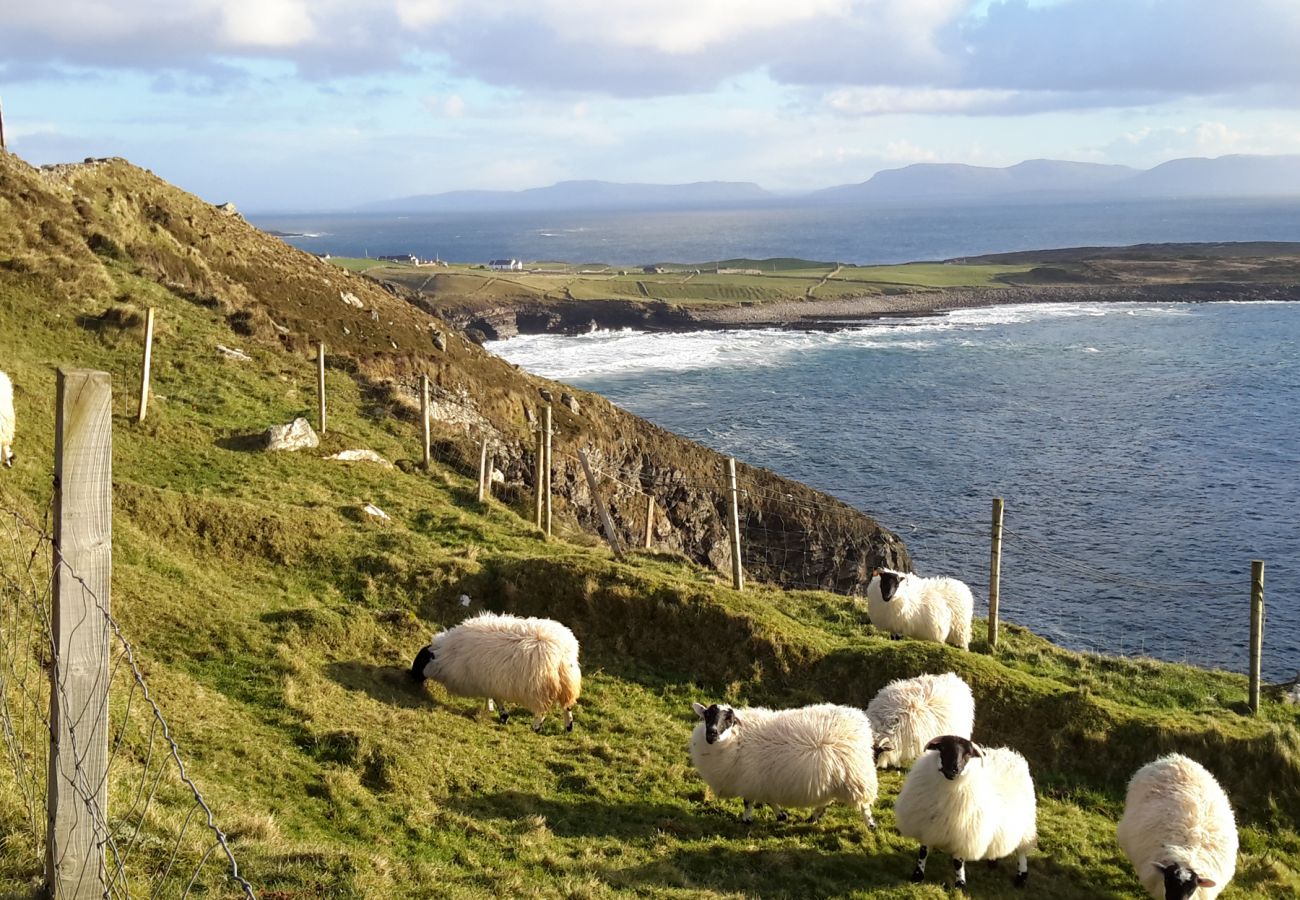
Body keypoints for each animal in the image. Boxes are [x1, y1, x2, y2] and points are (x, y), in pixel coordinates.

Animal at [408, 611, 582, 733]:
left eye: (421, 660)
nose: (411, 677)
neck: (448, 655)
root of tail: (562, 650)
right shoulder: (489, 680)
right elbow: (493, 697)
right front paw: (496, 712)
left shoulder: (486, 680)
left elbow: (495, 698)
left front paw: (498, 713)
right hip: (567, 681)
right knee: (567, 706)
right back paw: (569, 727)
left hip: (540, 687)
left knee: (543, 710)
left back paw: (536, 727)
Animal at [686, 702, 878, 827]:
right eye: (707, 715)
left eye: (729, 719)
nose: (711, 733)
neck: (737, 738)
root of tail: (860, 721)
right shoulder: (763, 780)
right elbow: (769, 800)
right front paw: (781, 815)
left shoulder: (750, 778)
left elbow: (748, 802)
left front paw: (747, 819)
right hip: (834, 777)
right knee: (827, 801)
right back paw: (813, 818)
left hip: (856, 775)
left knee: (864, 804)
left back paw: (870, 825)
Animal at [894, 733, 1034, 889]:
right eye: (943, 747)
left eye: (968, 754)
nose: (953, 769)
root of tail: (1008, 752)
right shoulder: (927, 826)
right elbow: (923, 852)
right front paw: (917, 876)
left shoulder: (963, 833)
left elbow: (957, 861)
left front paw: (960, 884)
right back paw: (993, 860)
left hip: (1026, 826)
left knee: (1022, 851)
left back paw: (1021, 876)